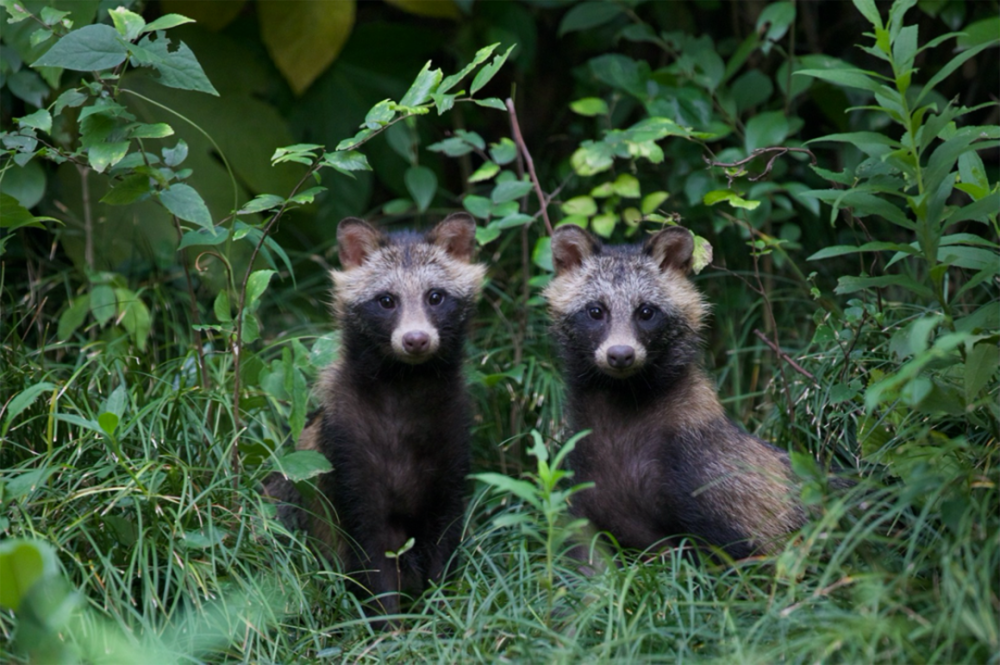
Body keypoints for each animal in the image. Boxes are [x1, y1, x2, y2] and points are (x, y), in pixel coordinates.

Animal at [266, 213, 484, 616]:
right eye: (386, 301)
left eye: (435, 297)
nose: (416, 339)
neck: (406, 385)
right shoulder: (346, 451)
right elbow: (369, 548)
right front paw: (387, 622)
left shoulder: (453, 443)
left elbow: (444, 539)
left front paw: (441, 609)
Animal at [544, 224, 808, 560]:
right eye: (595, 310)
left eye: (646, 311)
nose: (621, 355)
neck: (622, 396)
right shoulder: (584, 479)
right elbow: (586, 552)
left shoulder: (710, 472)